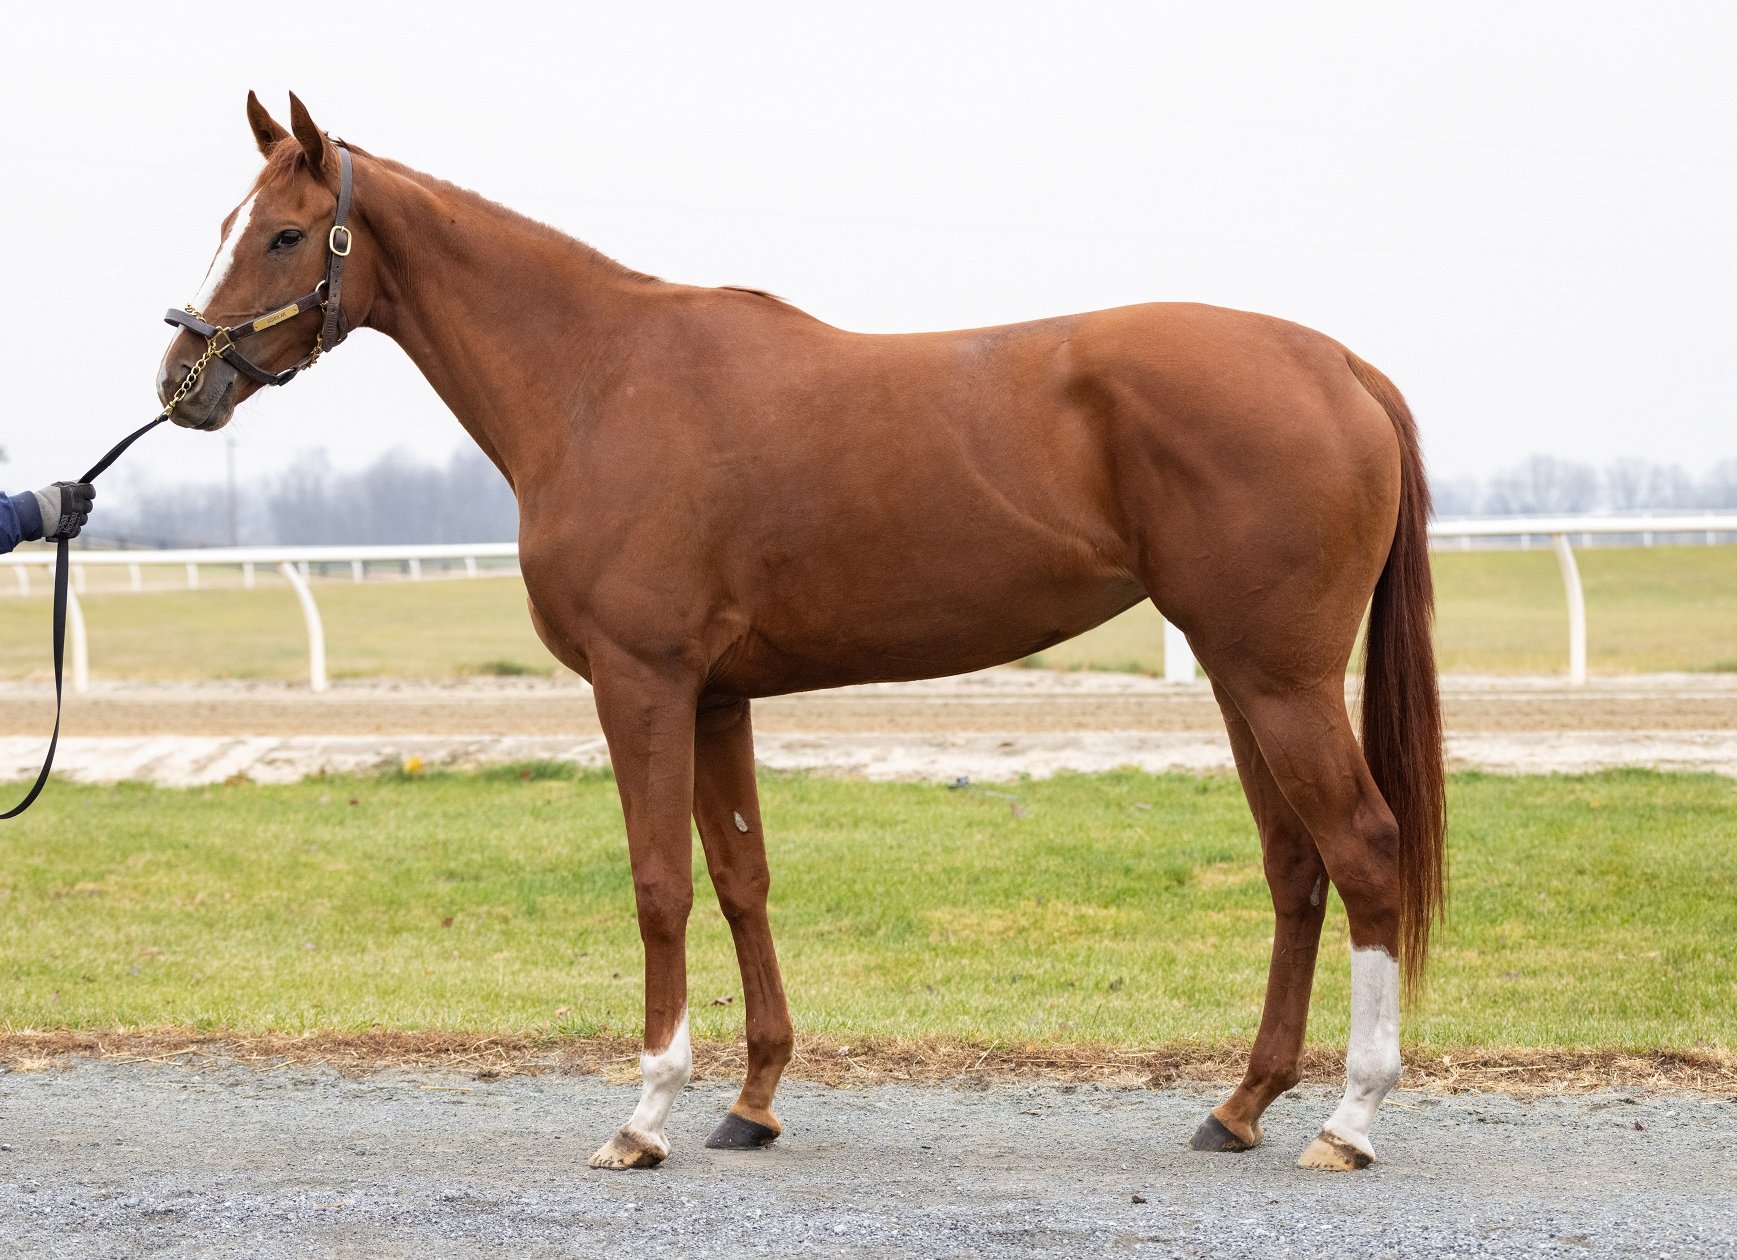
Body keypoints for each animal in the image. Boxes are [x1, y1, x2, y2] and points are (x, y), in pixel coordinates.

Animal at [159, 92, 1445, 1175]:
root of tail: (1341, 365)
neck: (599, 382)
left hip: (1279, 680)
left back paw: (1348, 1120)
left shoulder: (641, 685)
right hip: (1240, 678)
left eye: (284, 235)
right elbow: (742, 879)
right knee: (1294, 867)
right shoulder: (717, 697)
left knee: (1364, 847)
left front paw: (645, 1115)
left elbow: (659, 884)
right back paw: (1241, 1105)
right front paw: (753, 1101)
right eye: (228, 224)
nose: (181, 380)